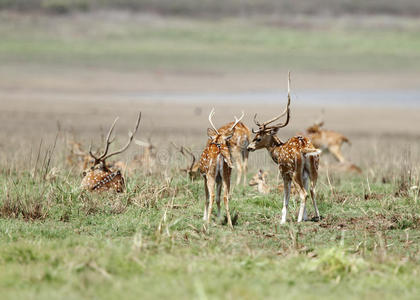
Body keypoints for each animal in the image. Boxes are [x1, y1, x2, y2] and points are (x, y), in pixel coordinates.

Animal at [246, 73, 322, 223]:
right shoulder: (304, 175)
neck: (278, 151)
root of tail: (304, 148)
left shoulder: (284, 172)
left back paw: (298, 221)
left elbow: (286, 197)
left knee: (303, 193)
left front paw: (282, 220)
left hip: (294, 172)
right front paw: (305, 217)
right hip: (313, 169)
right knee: (312, 190)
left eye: (258, 138)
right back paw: (316, 216)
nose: (249, 147)